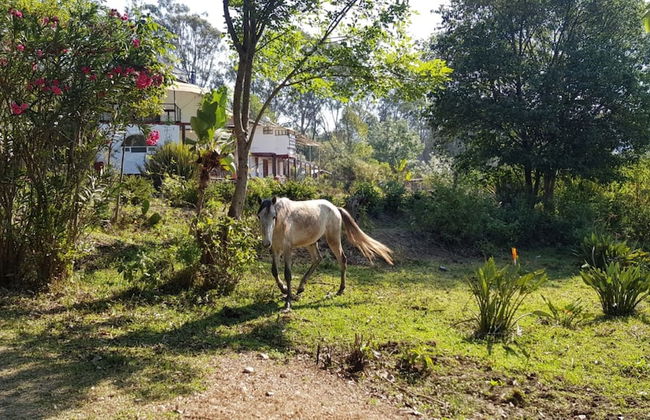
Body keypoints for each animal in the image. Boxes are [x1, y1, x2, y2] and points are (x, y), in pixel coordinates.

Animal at [257, 197, 393, 310]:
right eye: (259, 216)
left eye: (274, 216)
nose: (266, 243)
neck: (281, 222)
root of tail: (335, 208)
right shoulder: (275, 249)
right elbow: (274, 271)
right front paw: (284, 290)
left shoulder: (287, 249)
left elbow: (287, 274)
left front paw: (288, 302)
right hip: (311, 243)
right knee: (318, 259)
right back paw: (301, 287)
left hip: (332, 240)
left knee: (342, 259)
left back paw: (340, 290)